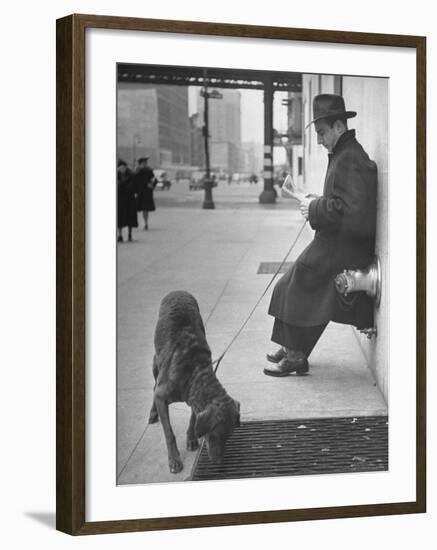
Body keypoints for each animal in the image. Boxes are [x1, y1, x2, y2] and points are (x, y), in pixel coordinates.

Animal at [148, 292, 240, 476]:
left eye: (228, 437)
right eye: (213, 437)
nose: (219, 464)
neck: (195, 372)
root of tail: (178, 291)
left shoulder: (194, 398)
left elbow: (193, 418)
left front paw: (191, 438)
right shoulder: (162, 396)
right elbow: (169, 433)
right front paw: (174, 460)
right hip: (156, 362)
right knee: (154, 385)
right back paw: (153, 412)